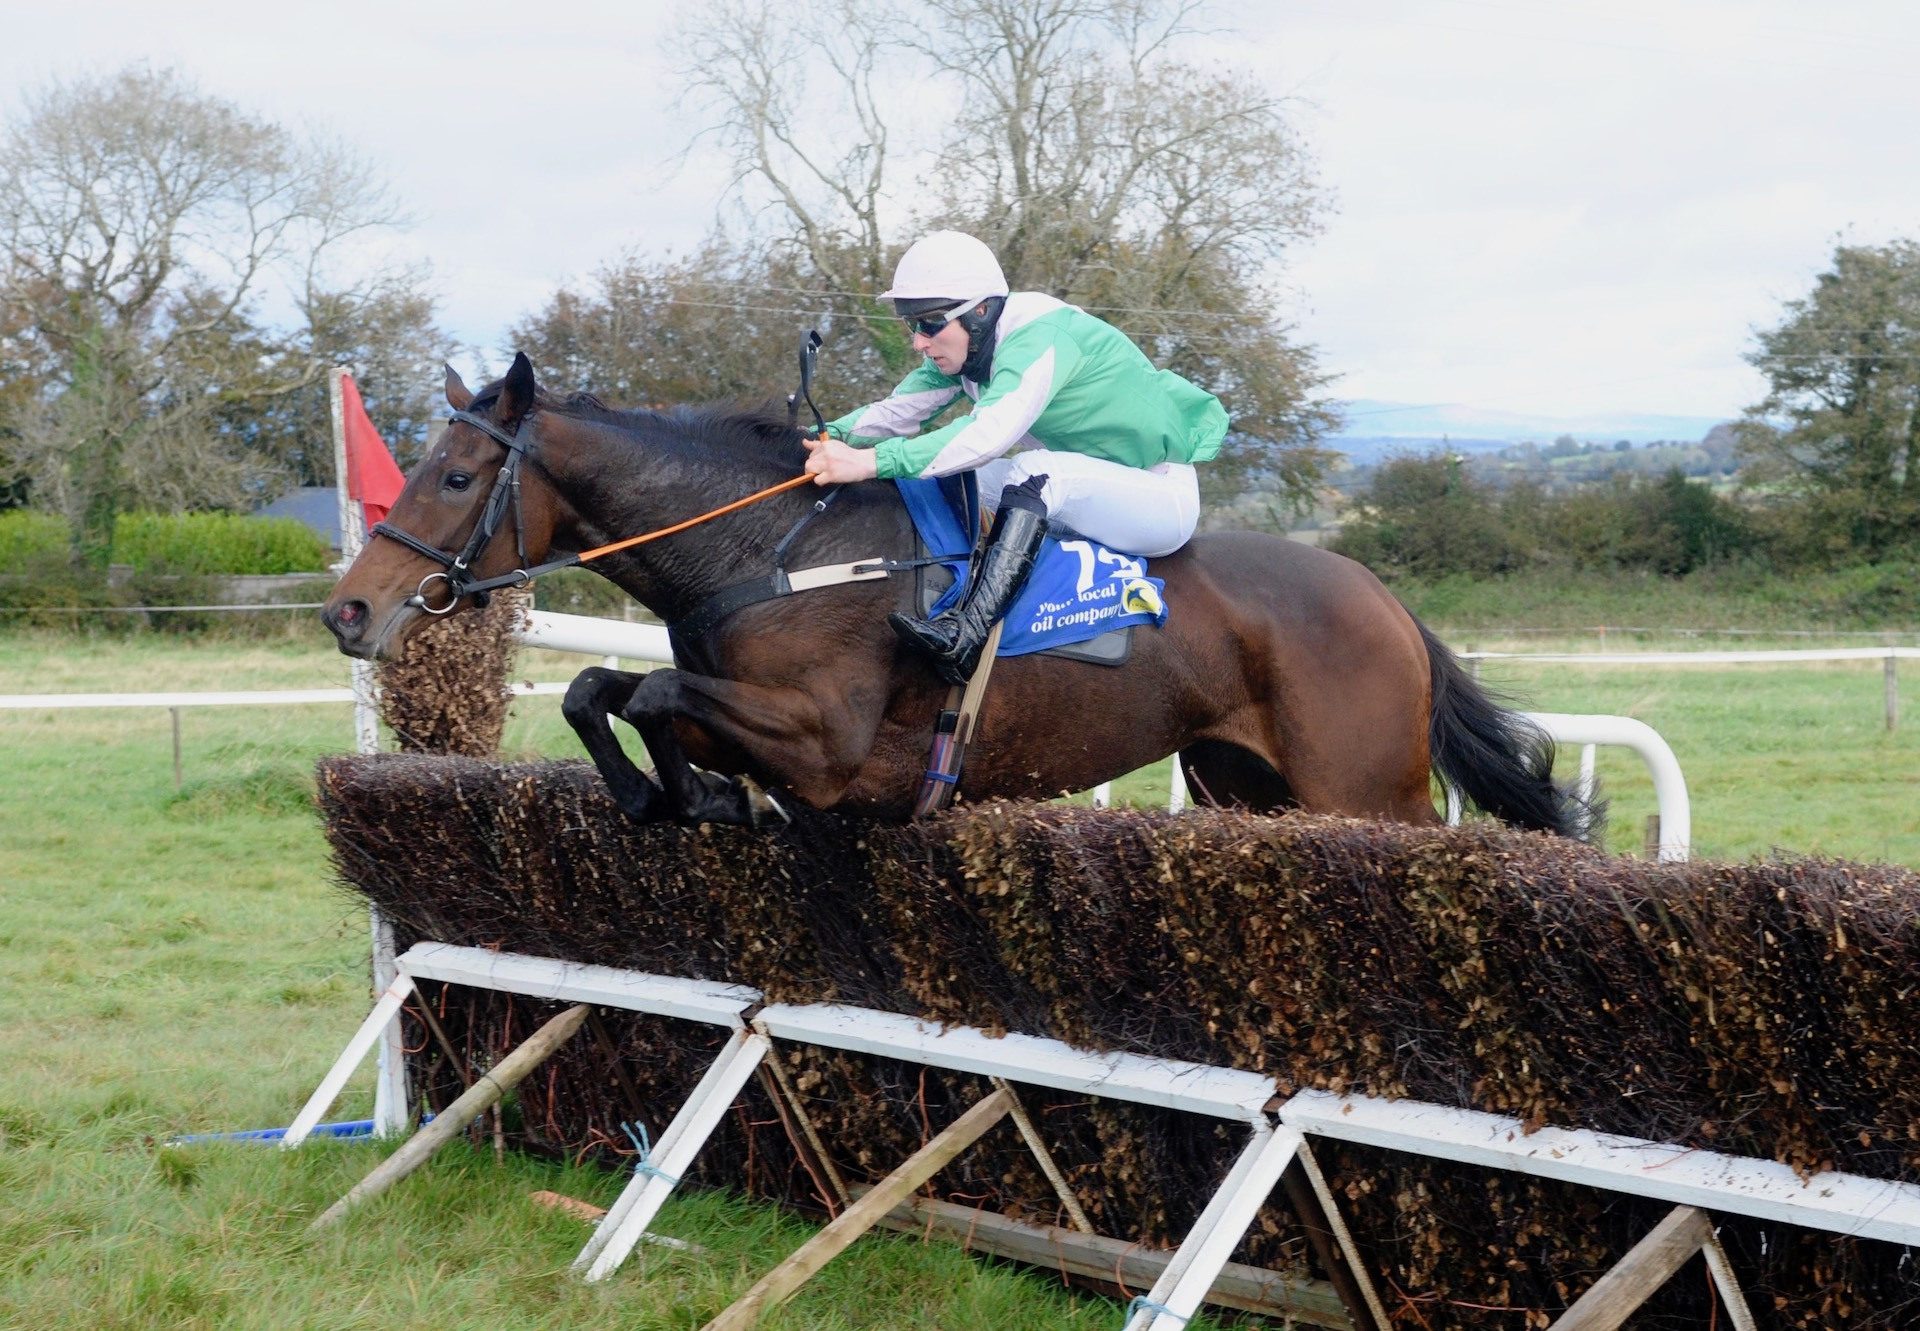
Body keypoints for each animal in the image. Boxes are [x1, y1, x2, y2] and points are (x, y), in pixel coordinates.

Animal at [326, 347, 1589, 837]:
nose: (350, 608)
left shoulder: (830, 748)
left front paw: (692, 795)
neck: (767, 547)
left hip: (1364, 790)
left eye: (454, 475)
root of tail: (1384, 600)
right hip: (1241, 784)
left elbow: (648, 698)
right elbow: (603, 686)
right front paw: (673, 793)